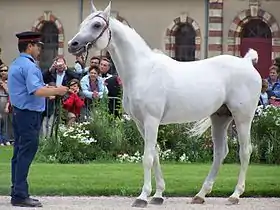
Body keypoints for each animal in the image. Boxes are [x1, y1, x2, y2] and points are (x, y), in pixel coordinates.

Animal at [67, 1, 262, 208]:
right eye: (82, 24)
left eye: (96, 25)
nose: (73, 45)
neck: (142, 71)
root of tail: (247, 62)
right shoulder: (140, 123)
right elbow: (156, 155)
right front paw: (158, 195)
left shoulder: (151, 121)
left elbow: (147, 157)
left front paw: (143, 196)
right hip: (220, 117)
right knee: (220, 153)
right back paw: (200, 195)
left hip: (242, 118)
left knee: (245, 151)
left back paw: (235, 195)